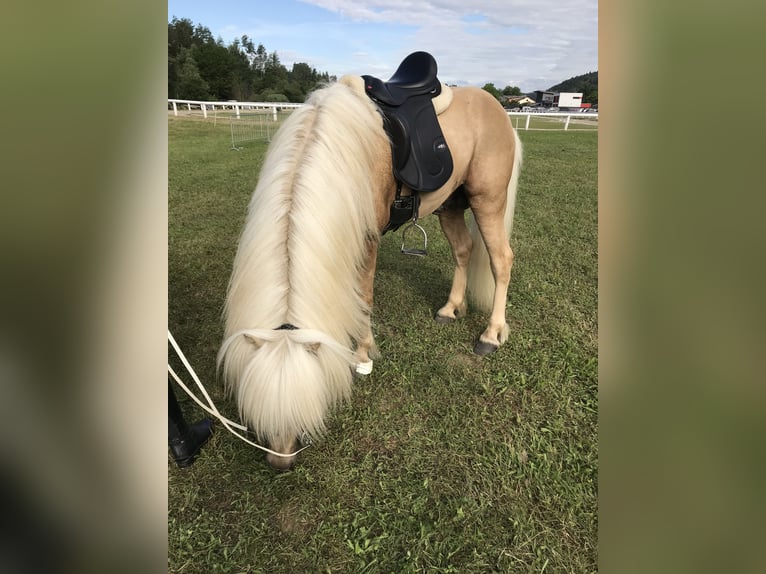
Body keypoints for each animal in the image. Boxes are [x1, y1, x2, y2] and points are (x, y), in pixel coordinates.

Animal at [219, 56, 524, 470]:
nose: (281, 462)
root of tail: (497, 107)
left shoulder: (367, 240)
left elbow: (363, 297)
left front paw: (362, 356)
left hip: (487, 199)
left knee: (501, 261)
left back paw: (491, 334)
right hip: (451, 205)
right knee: (463, 250)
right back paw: (449, 308)